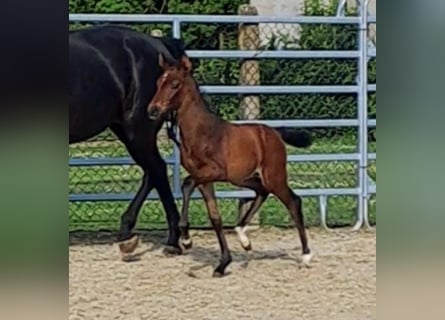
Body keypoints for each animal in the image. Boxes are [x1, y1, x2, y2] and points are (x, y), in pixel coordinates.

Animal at [68, 24, 186, 255]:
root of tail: (159, 44)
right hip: (126, 130)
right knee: (152, 172)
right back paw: (128, 233)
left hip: (138, 130)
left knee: (157, 169)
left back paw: (170, 241)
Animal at [147, 53, 312, 276]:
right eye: (158, 83)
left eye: (174, 84)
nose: (152, 110)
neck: (201, 133)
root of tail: (275, 133)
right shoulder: (205, 180)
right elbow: (215, 217)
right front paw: (223, 263)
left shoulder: (214, 172)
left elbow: (187, 184)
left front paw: (187, 239)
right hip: (244, 178)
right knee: (262, 192)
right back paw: (243, 237)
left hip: (274, 176)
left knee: (293, 202)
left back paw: (305, 256)